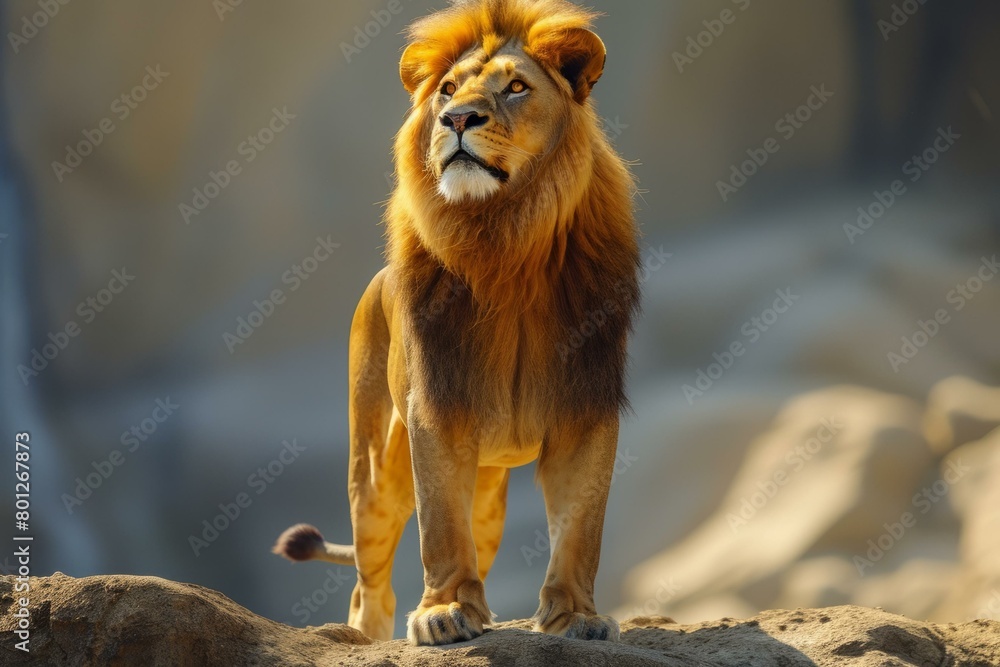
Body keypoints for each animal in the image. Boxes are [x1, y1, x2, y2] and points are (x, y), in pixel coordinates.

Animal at [274, 0, 640, 646]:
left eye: (516, 87)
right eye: (446, 89)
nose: (457, 118)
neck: (507, 243)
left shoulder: (587, 405)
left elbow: (581, 529)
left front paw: (576, 617)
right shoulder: (438, 408)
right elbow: (440, 527)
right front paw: (445, 612)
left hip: (490, 501)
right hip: (374, 474)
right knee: (369, 583)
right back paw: (370, 636)